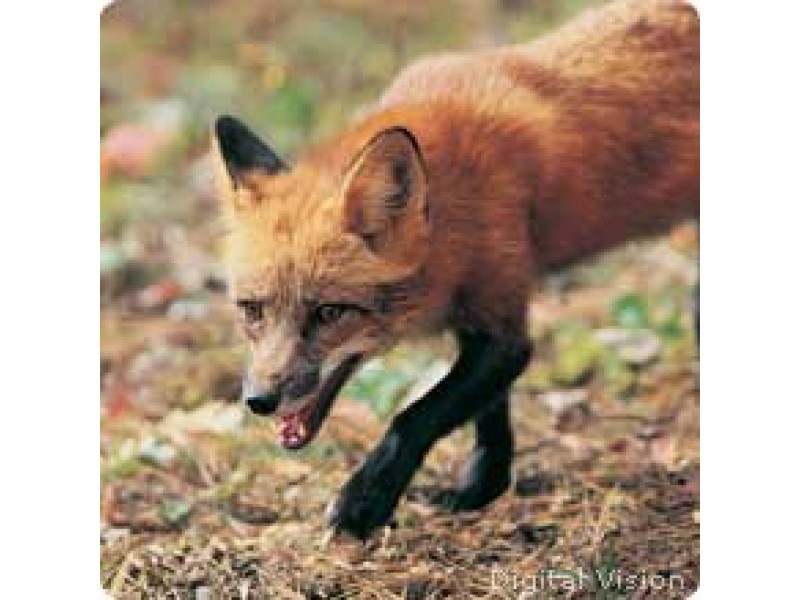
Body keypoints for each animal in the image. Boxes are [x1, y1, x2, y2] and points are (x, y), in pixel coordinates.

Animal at [211, 0, 699, 540]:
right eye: (251, 310)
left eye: (329, 313)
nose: (258, 401)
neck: (451, 210)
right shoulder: (480, 318)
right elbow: (489, 416)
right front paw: (482, 488)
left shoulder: (503, 327)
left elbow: (415, 416)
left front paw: (364, 503)